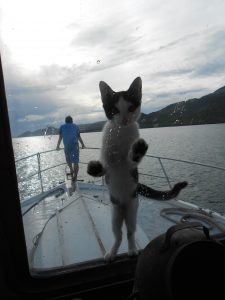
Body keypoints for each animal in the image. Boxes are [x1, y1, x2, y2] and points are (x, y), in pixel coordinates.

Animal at [87, 77, 187, 260]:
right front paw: (94, 168)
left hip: (133, 209)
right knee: (118, 234)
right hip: (115, 213)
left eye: (131, 107)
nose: (125, 120)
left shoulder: (130, 166)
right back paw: (112, 252)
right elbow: (104, 168)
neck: (120, 133)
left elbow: (132, 160)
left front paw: (138, 150)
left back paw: (133, 249)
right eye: (114, 110)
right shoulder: (108, 160)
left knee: (130, 232)